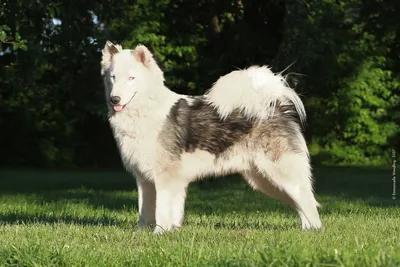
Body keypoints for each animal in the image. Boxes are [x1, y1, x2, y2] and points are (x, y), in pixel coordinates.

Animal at [100, 40, 322, 236]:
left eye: (131, 78)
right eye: (113, 77)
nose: (114, 99)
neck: (145, 110)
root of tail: (275, 106)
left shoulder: (165, 177)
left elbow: (162, 210)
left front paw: (159, 233)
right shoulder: (145, 179)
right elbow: (145, 211)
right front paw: (144, 233)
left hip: (279, 173)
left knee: (307, 201)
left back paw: (314, 232)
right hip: (264, 180)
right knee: (300, 204)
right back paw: (305, 230)